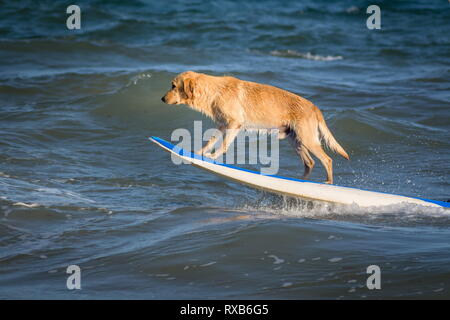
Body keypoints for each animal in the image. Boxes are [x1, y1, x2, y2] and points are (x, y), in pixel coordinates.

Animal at [161, 71, 348, 184]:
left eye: (173, 86)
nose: (162, 99)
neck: (214, 91)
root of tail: (315, 107)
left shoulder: (234, 124)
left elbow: (223, 145)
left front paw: (212, 157)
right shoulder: (222, 125)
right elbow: (211, 140)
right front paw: (199, 153)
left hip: (307, 140)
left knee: (327, 160)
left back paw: (328, 183)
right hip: (296, 141)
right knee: (309, 163)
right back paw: (299, 180)